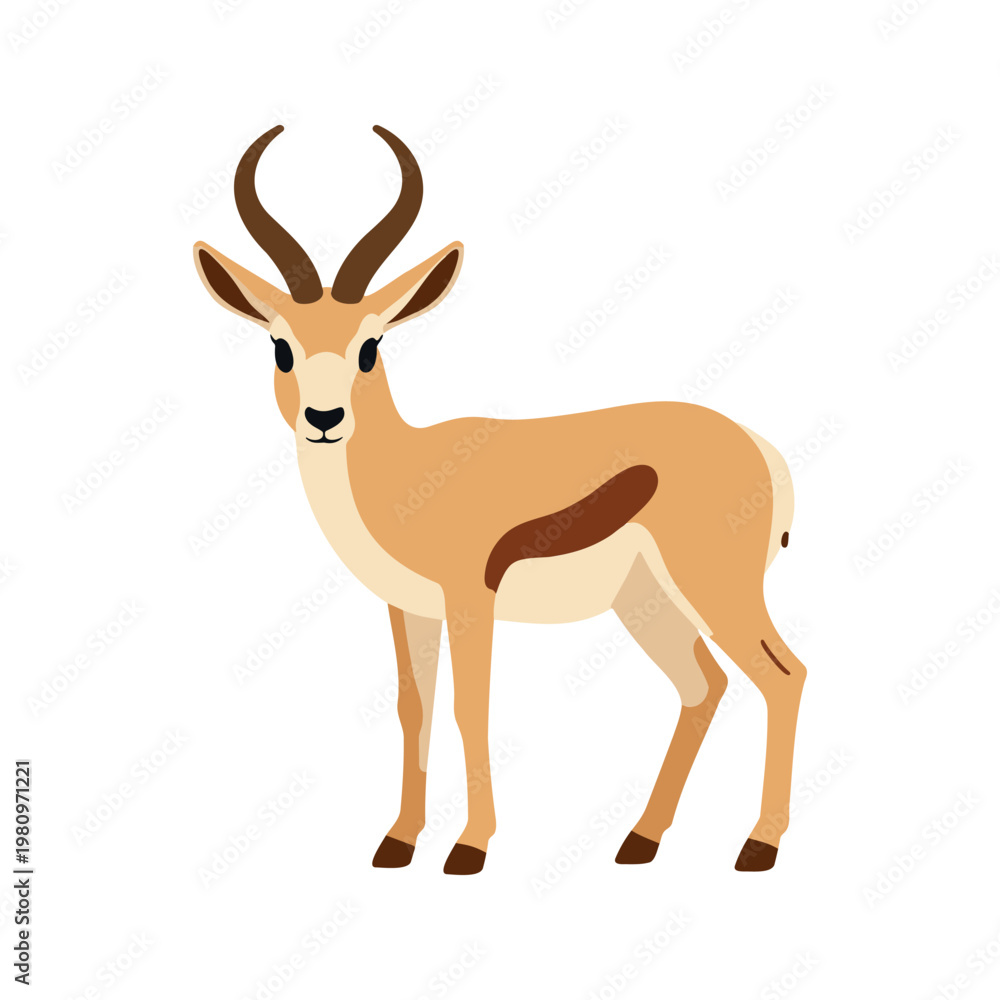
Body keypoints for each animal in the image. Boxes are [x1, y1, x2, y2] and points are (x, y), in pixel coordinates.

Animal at [193, 125, 808, 876]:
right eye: (281, 347)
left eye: (370, 345)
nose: (324, 418)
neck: (405, 473)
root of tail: (762, 449)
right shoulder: (408, 606)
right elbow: (415, 708)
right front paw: (398, 842)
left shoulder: (469, 599)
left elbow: (470, 707)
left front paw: (469, 847)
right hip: (646, 600)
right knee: (704, 687)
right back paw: (641, 841)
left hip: (715, 589)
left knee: (783, 675)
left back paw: (759, 845)